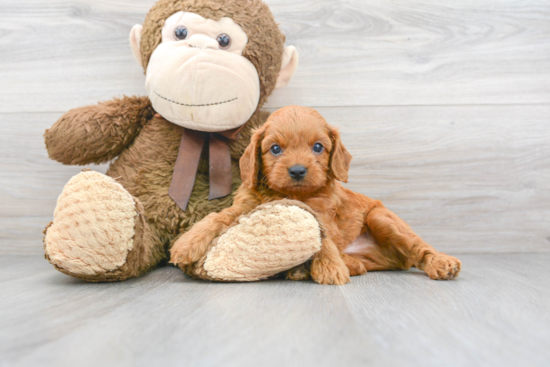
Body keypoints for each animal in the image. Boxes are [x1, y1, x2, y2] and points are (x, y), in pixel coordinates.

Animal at [170, 105, 464, 286]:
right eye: (275, 149)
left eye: (318, 147)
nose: (298, 170)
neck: (289, 194)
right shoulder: (243, 207)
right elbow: (216, 217)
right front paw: (186, 244)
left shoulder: (323, 214)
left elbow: (323, 236)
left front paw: (330, 268)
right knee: (365, 265)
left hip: (382, 219)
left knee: (419, 248)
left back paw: (441, 262)